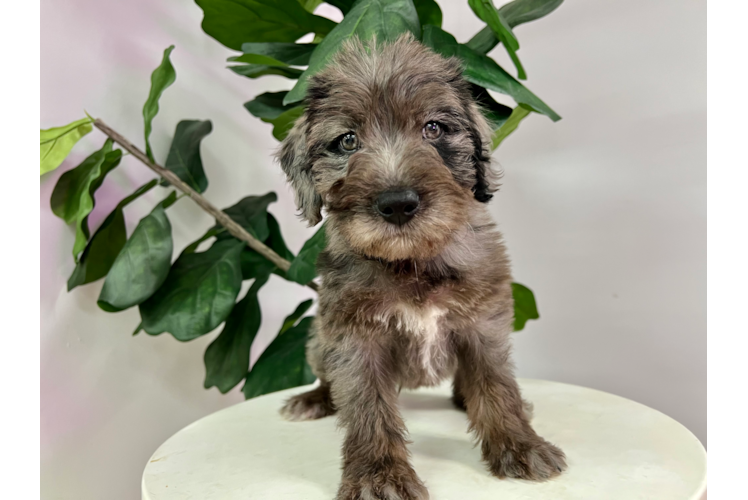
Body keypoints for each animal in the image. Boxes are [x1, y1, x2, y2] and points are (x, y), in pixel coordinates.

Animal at [278, 33, 564, 498]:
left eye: (433, 128)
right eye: (347, 141)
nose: (397, 204)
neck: (412, 261)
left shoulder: (483, 324)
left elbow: (496, 383)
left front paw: (519, 443)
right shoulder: (354, 338)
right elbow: (367, 407)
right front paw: (378, 475)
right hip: (319, 341)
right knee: (328, 379)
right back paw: (313, 399)